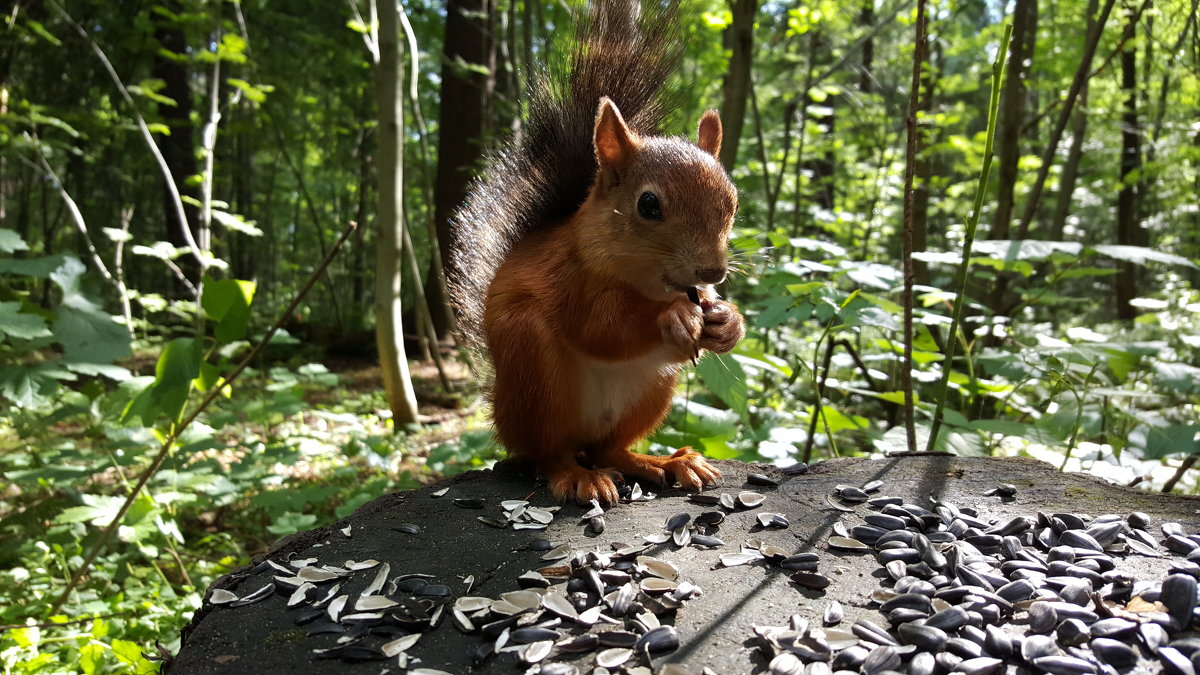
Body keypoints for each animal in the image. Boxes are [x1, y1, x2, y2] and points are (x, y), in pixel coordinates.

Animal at [446, 0, 744, 502]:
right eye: (648, 205)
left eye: (733, 200)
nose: (712, 272)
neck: (647, 284)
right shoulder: (568, 278)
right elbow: (599, 327)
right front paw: (673, 318)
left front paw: (727, 321)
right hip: (532, 369)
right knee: (549, 451)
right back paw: (576, 474)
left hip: (650, 392)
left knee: (610, 448)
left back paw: (664, 462)